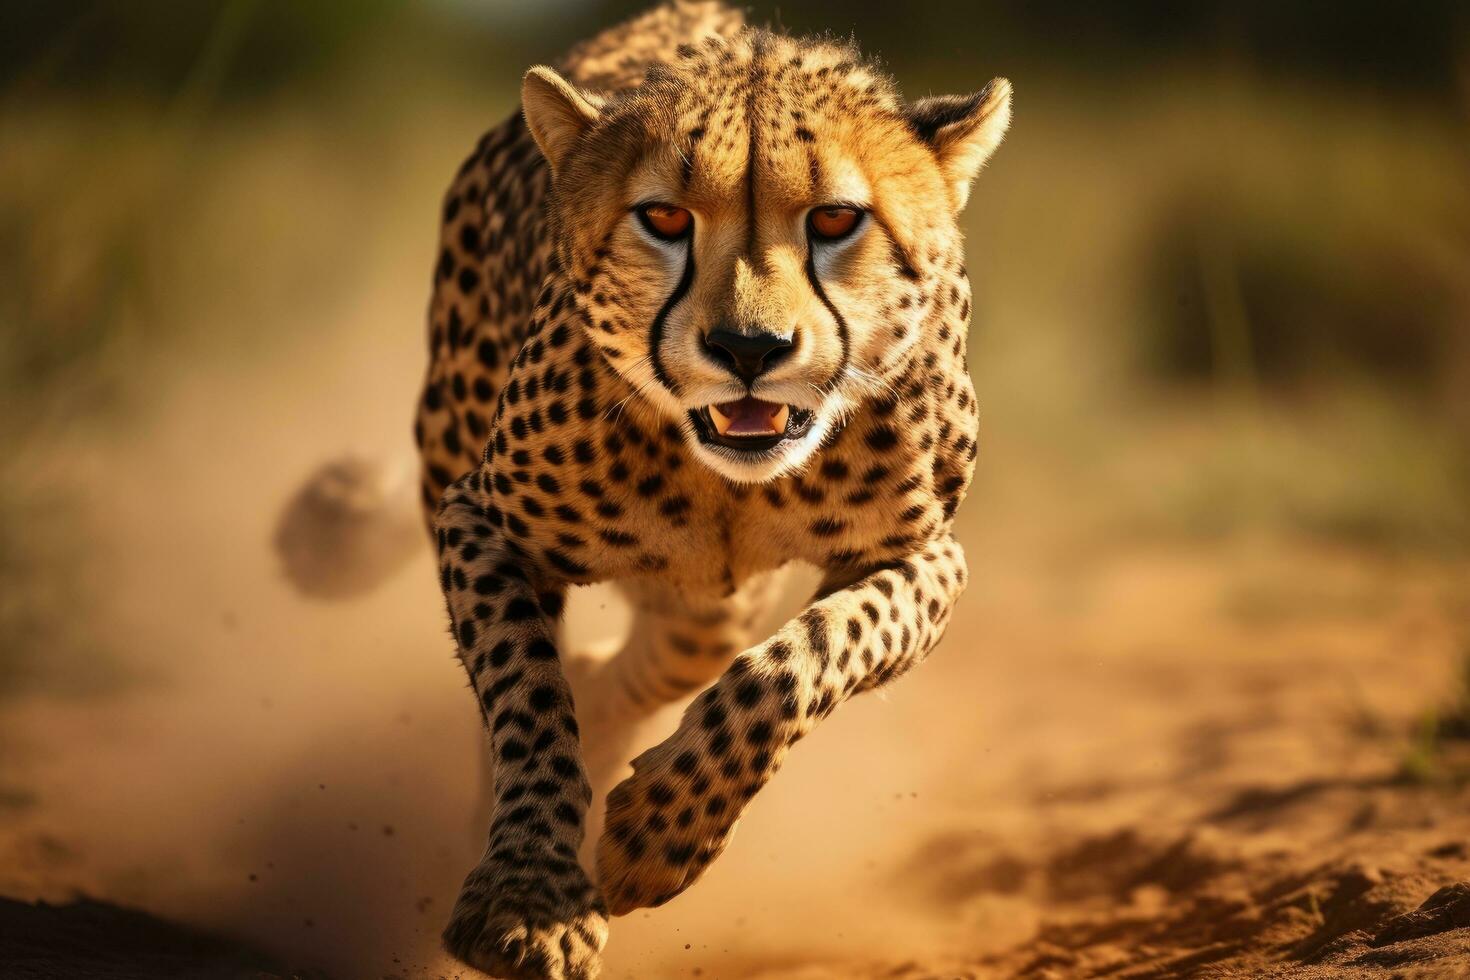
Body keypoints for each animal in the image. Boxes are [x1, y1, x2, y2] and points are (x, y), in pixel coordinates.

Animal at [414, 3, 1011, 975]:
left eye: (836, 219)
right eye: (663, 217)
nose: (748, 349)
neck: (732, 483)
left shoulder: (924, 554)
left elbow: (811, 656)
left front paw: (659, 833)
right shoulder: (480, 517)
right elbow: (526, 695)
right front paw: (531, 899)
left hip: (715, 606)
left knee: (677, 650)